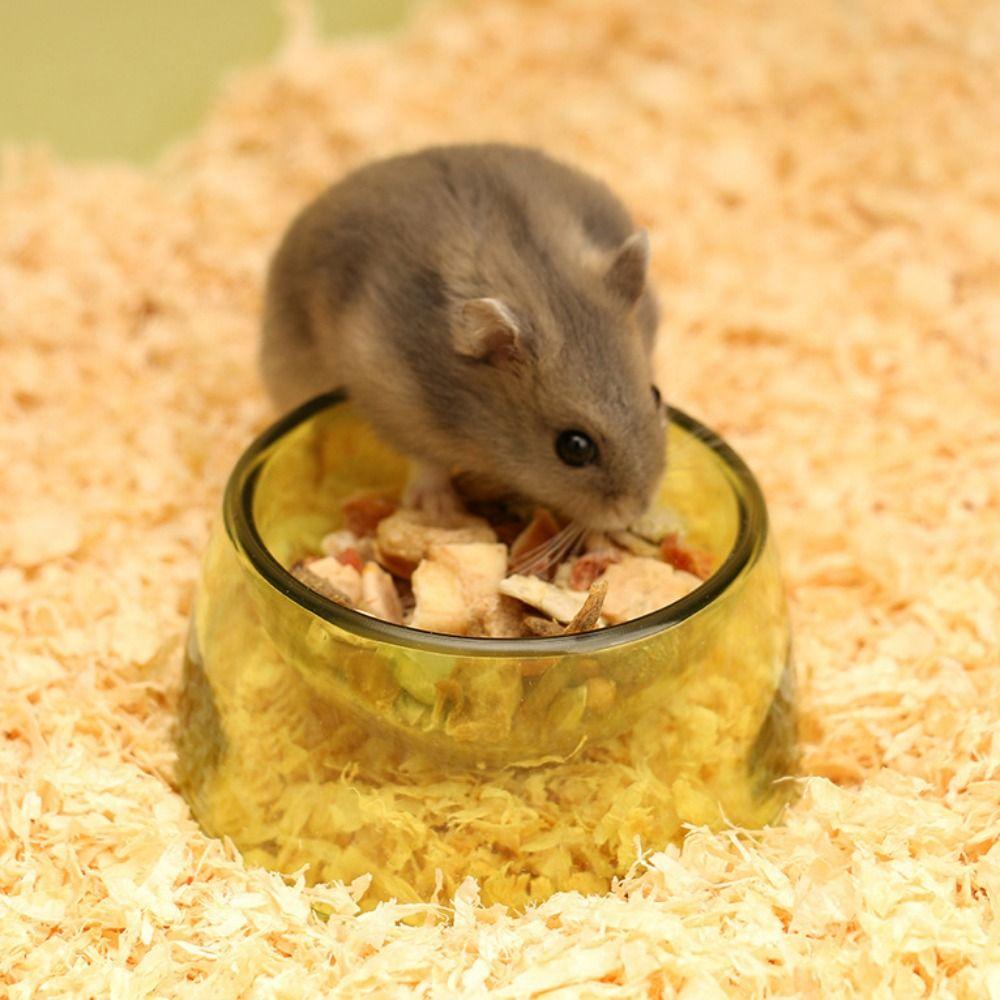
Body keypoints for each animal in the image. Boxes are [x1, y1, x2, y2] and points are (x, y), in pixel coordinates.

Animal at [260, 143, 666, 531]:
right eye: (574, 447)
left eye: (655, 394)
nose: (636, 511)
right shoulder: (393, 398)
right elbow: (427, 460)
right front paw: (440, 511)